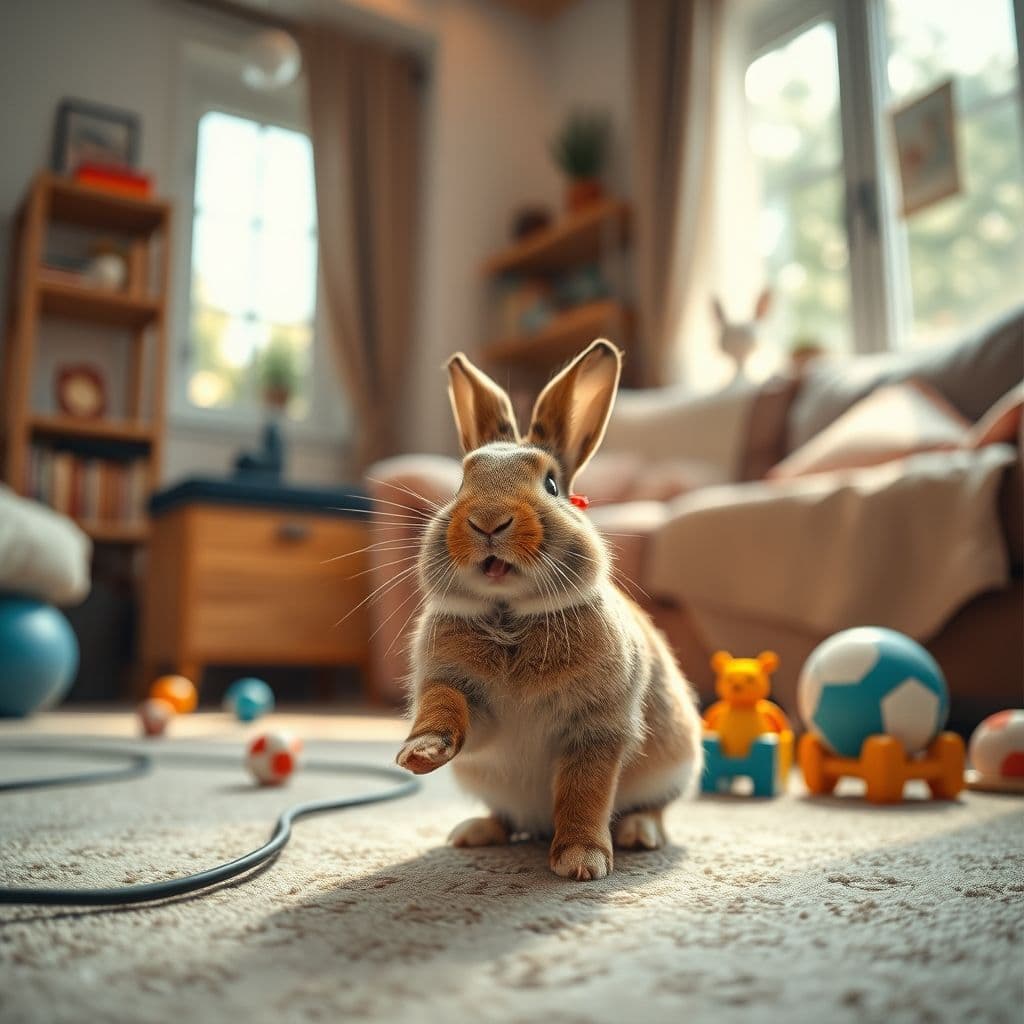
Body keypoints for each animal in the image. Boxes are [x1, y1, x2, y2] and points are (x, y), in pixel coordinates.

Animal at [395, 339, 703, 881]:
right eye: (459, 484)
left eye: (553, 486)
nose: (488, 520)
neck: (510, 616)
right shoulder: (458, 693)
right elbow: (445, 708)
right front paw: (422, 751)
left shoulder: (597, 727)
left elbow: (585, 792)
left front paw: (582, 862)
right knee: (504, 816)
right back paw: (474, 832)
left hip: (676, 765)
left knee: (654, 807)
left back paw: (639, 832)